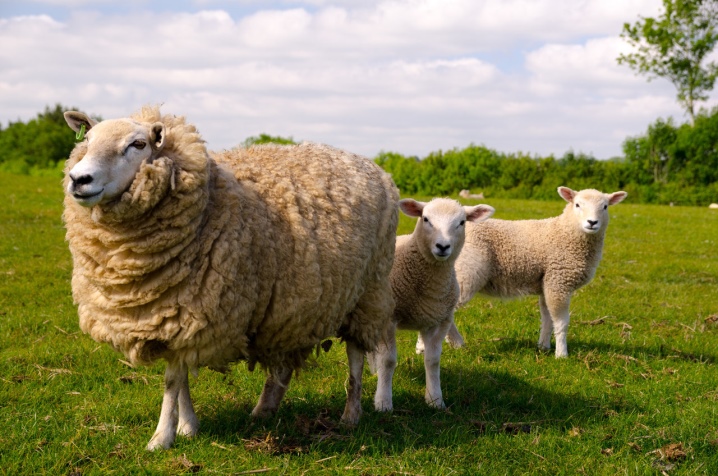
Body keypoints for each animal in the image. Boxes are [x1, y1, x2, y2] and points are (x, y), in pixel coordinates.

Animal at [61, 105, 400, 450]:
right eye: (87, 139)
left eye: (138, 144)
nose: (79, 179)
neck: (209, 201)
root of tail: (373, 167)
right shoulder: (171, 315)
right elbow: (181, 377)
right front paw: (188, 426)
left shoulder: (189, 311)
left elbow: (172, 379)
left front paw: (162, 437)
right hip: (293, 306)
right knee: (283, 363)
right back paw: (264, 409)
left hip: (366, 292)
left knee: (356, 355)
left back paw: (351, 414)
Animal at [368, 199, 498, 410]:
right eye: (426, 219)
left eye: (461, 222)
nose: (442, 246)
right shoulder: (389, 319)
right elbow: (387, 361)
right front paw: (383, 402)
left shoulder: (439, 321)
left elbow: (432, 360)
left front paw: (435, 399)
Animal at [448, 186, 628, 356]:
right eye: (577, 205)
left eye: (605, 206)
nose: (592, 222)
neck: (565, 232)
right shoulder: (559, 281)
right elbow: (562, 322)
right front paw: (561, 354)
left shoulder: (547, 283)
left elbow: (547, 318)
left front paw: (543, 347)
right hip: (467, 271)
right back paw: (457, 344)